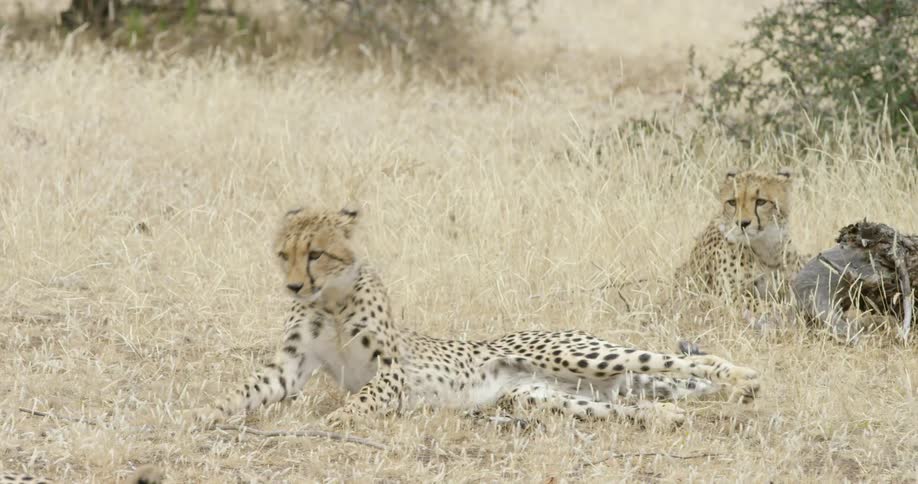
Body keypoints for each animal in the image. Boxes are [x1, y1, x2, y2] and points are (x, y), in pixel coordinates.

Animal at [196, 204, 761, 430]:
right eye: (283, 254)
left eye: (315, 253)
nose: (292, 285)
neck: (330, 299)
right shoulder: (289, 367)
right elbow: (248, 388)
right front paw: (207, 412)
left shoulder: (391, 374)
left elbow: (362, 399)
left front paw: (337, 419)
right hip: (541, 396)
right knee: (624, 408)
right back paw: (669, 417)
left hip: (582, 355)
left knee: (681, 360)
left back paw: (743, 379)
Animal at [677, 168, 806, 306]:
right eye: (732, 202)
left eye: (761, 201)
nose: (742, 223)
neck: (766, 248)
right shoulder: (727, 295)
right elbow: (765, 306)